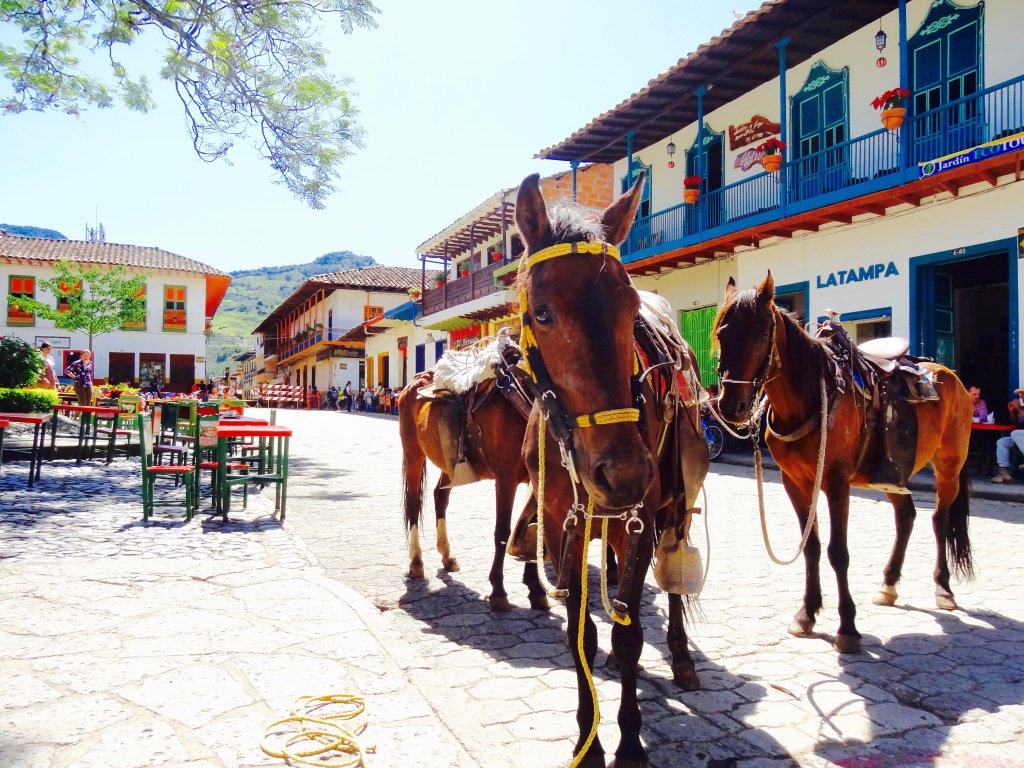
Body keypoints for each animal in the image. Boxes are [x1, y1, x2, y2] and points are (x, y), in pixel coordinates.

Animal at [395, 372, 548, 614]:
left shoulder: (538, 480)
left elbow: (534, 530)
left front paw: (536, 589)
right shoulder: (506, 480)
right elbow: (502, 532)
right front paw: (498, 591)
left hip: (450, 463)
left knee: (440, 496)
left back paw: (447, 555)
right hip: (413, 455)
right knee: (412, 505)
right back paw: (416, 561)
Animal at [516, 174, 708, 768]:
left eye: (628, 309)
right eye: (542, 313)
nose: (623, 474)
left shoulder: (637, 521)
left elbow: (628, 636)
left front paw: (628, 744)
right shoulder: (564, 528)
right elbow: (582, 632)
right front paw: (589, 742)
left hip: (670, 504)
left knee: (672, 582)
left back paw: (681, 656)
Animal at [712, 274, 974, 651]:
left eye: (761, 335)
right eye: (721, 334)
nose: (731, 405)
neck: (810, 398)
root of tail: (948, 374)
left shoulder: (836, 484)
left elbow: (838, 552)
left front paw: (847, 626)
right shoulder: (796, 483)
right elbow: (811, 546)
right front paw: (806, 613)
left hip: (949, 467)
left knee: (939, 519)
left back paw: (943, 588)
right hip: (893, 474)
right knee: (906, 517)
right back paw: (889, 584)